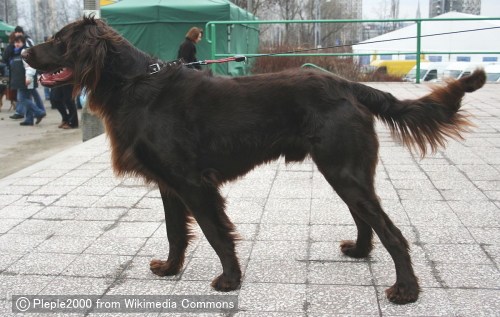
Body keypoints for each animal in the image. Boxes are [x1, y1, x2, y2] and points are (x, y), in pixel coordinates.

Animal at [22, 17, 484, 304]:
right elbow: (176, 233)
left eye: (59, 41)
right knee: (366, 220)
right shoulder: (169, 184)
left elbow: (214, 233)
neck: (136, 85)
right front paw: (169, 269)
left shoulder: (193, 183)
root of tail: (348, 85)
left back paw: (406, 290)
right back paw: (358, 251)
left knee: (393, 233)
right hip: (345, 171)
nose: (25, 54)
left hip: (343, 168)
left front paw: (229, 280)